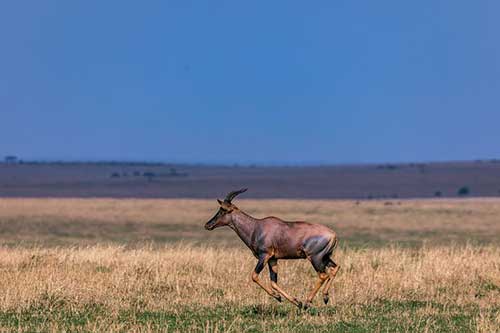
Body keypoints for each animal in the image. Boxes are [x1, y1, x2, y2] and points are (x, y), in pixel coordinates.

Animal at [203, 188, 340, 308]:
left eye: (223, 210)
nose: (207, 225)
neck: (256, 227)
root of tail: (333, 234)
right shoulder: (273, 259)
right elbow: (274, 282)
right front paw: (292, 301)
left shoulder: (264, 256)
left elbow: (254, 276)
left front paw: (286, 299)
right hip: (325, 257)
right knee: (335, 268)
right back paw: (325, 297)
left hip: (315, 258)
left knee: (323, 275)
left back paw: (307, 302)